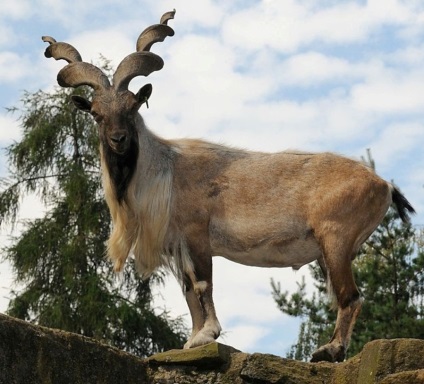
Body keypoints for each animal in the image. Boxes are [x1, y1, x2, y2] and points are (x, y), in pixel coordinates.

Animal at [43, 10, 414, 362]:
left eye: (132, 107)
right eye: (96, 113)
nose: (119, 140)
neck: (164, 170)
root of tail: (383, 184)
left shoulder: (197, 236)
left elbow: (202, 284)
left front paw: (207, 334)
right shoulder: (179, 248)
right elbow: (189, 291)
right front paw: (192, 340)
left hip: (335, 240)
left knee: (349, 296)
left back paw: (330, 350)